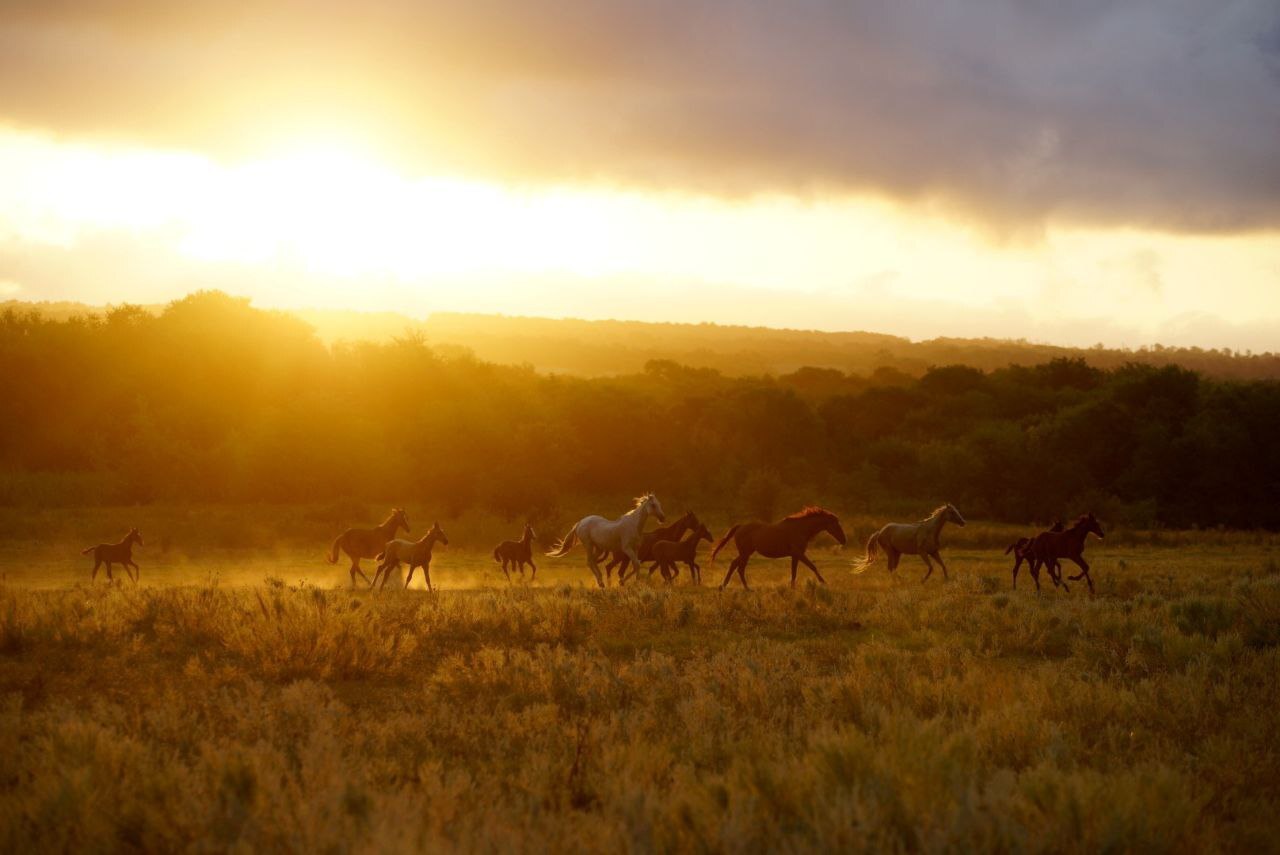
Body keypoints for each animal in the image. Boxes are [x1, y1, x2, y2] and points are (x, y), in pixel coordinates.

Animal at [706, 504, 844, 591]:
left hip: (746, 553)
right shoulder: (799, 553)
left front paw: (792, 588)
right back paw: (746, 588)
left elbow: (794, 572)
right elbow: (812, 567)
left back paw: (724, 586)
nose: (844, 539)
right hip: (745, 553)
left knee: (734, 565)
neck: (801, 529)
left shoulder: (795, 555)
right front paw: (824, 583)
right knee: (740, 568)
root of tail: (740, 527)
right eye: (835, 523)